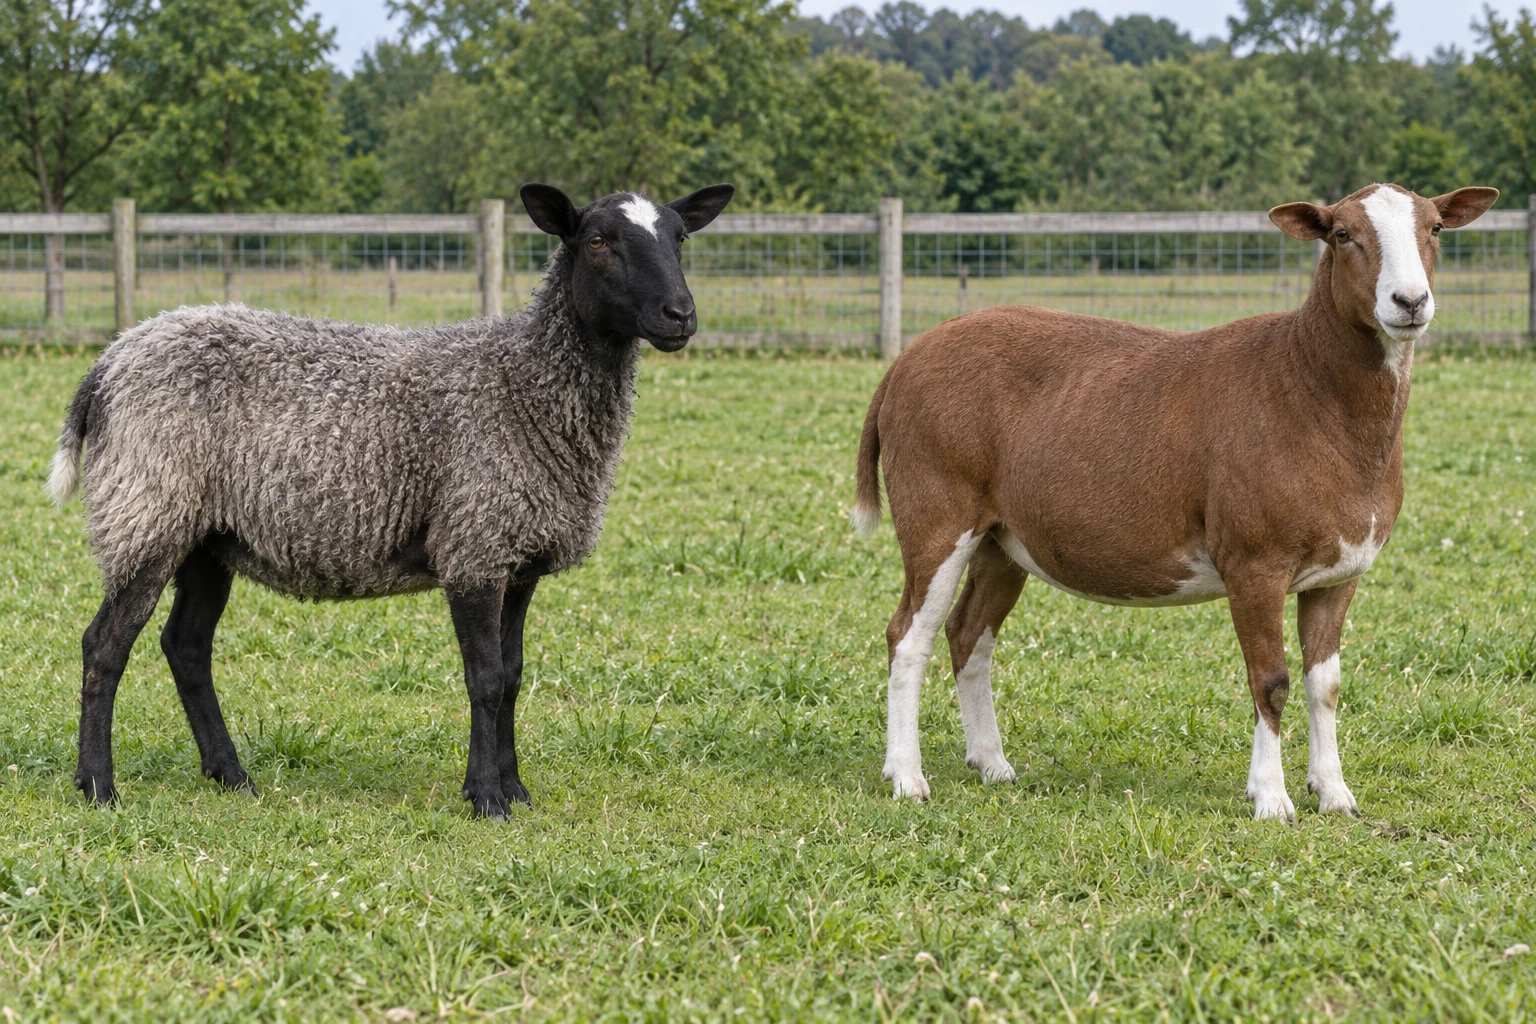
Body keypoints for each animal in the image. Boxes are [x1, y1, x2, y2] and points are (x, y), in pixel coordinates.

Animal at [50, 182, 735, 818]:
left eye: (680, 238)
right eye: (596, 241)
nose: (680, 314)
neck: (523, 384)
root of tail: (109, 361)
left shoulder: (519, 557)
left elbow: (513, 675)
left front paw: (515, 789)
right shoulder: (473, 546)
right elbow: (486, 679)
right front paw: (486, 797)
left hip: (205, 537)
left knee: (186, 647)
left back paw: (231, 775)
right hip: (147, 508)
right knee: (104, 645)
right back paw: (99, 786)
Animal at [852, 183, 1498, 819]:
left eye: (1436, 228)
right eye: (1342, 234)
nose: (1409, 301)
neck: (1310, 390)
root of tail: (904, 361)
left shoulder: (1340, 570)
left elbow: (1326, 685)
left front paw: (1334, 794)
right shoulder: (1254, 561)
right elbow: (1271, 680)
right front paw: (1271, 798)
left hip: (1002, 537)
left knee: (970, 635)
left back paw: (991, 763)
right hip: (937, 507)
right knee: (908, 637)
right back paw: (906, 777)